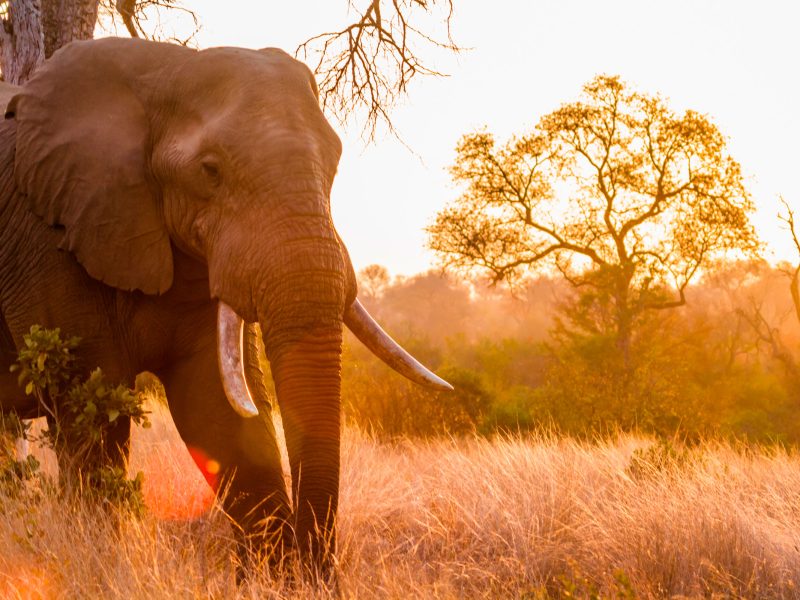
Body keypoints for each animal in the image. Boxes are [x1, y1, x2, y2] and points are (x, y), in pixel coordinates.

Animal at [0, 37, 451, 573]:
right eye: (210, 170)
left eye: (336, 162)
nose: (319, 574)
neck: (161, 70)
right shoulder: (47, 239)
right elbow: (91, 416)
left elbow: (217, 409)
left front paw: (275, 579)